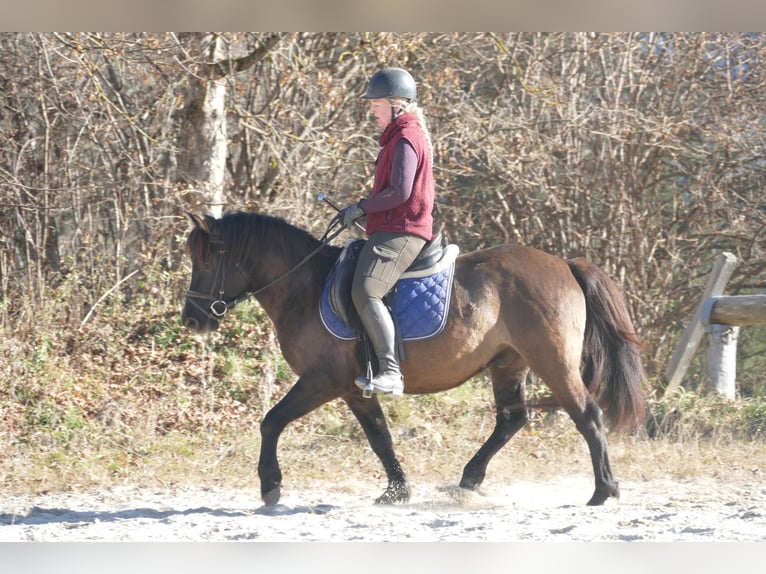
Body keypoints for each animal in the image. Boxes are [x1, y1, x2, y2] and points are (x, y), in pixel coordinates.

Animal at [182, 212, 648, 508]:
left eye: (206, 258)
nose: (191, 319)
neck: (305, 287)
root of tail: (564, 264)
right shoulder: (355, 389)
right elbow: (380, 437)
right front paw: (397, 492)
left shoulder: (322, 381)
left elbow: (271, 421)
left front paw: (270, 485)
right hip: (508, 364)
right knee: (512, 419)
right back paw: (468, 481)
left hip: (553, 362)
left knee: (587, 416)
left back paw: (603, 491)